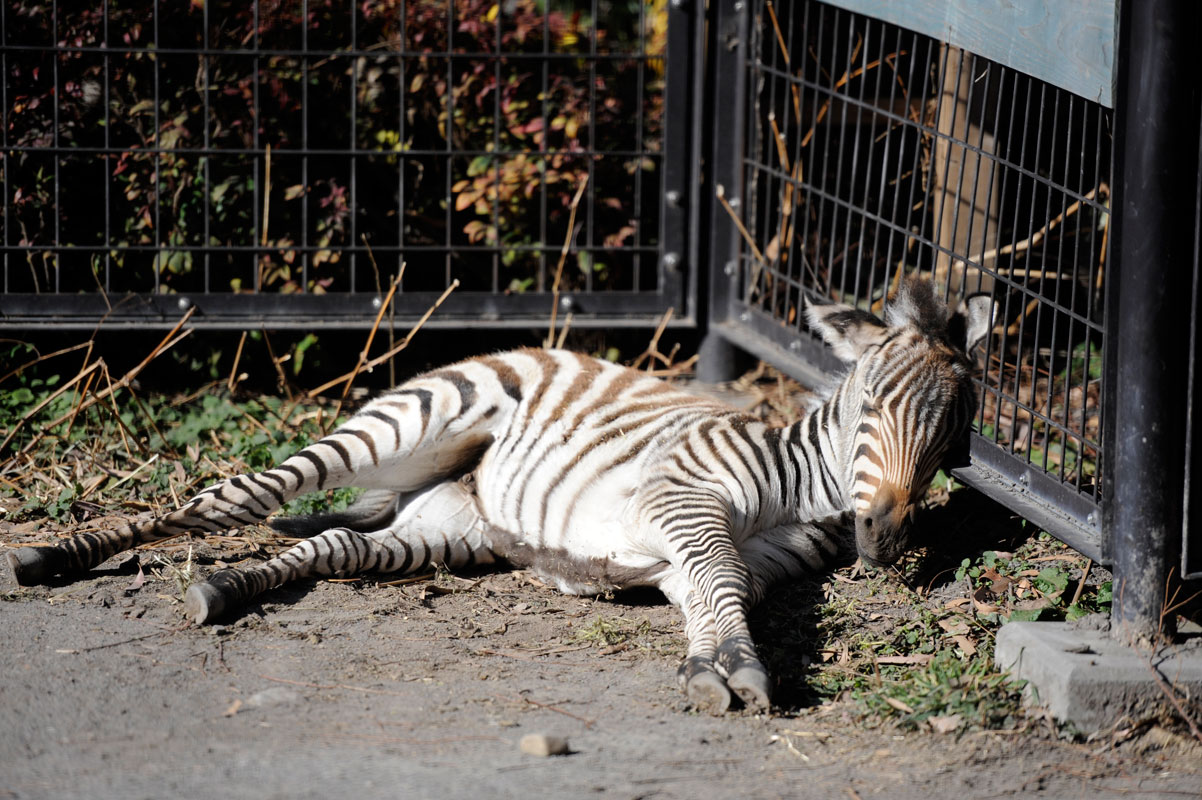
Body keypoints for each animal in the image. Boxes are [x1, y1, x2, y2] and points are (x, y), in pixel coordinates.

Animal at [7, 278, 985, 711]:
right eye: (874, 404)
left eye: (952, 435)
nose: (883, 536)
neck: (797, 481)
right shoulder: (680, 500)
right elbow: (716, 576)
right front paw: (738, 669)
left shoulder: (705, 555)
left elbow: (719, 592)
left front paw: (714, 663)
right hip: (406, 425)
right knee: (228, 500)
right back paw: (56, 556)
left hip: (452, 525)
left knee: (333, 547)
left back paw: (222, 589)